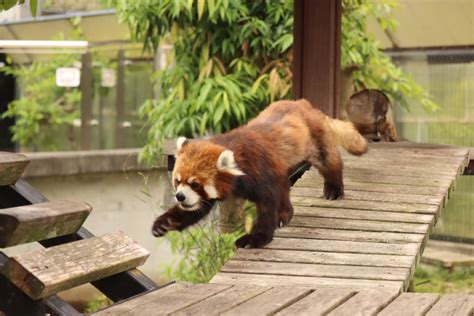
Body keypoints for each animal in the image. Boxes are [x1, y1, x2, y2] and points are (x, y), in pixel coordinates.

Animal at [154, 100, 368, 248]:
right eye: (177, 181)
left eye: (195, 183)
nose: (180, 196)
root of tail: (304, 104)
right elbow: (196, 209)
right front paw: (164, 223)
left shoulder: (261, 173)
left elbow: (267, 205)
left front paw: (256, 238)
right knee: (285, 186)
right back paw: (286, 213)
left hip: (315, 140)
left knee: (329, 161)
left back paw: (333, 189)